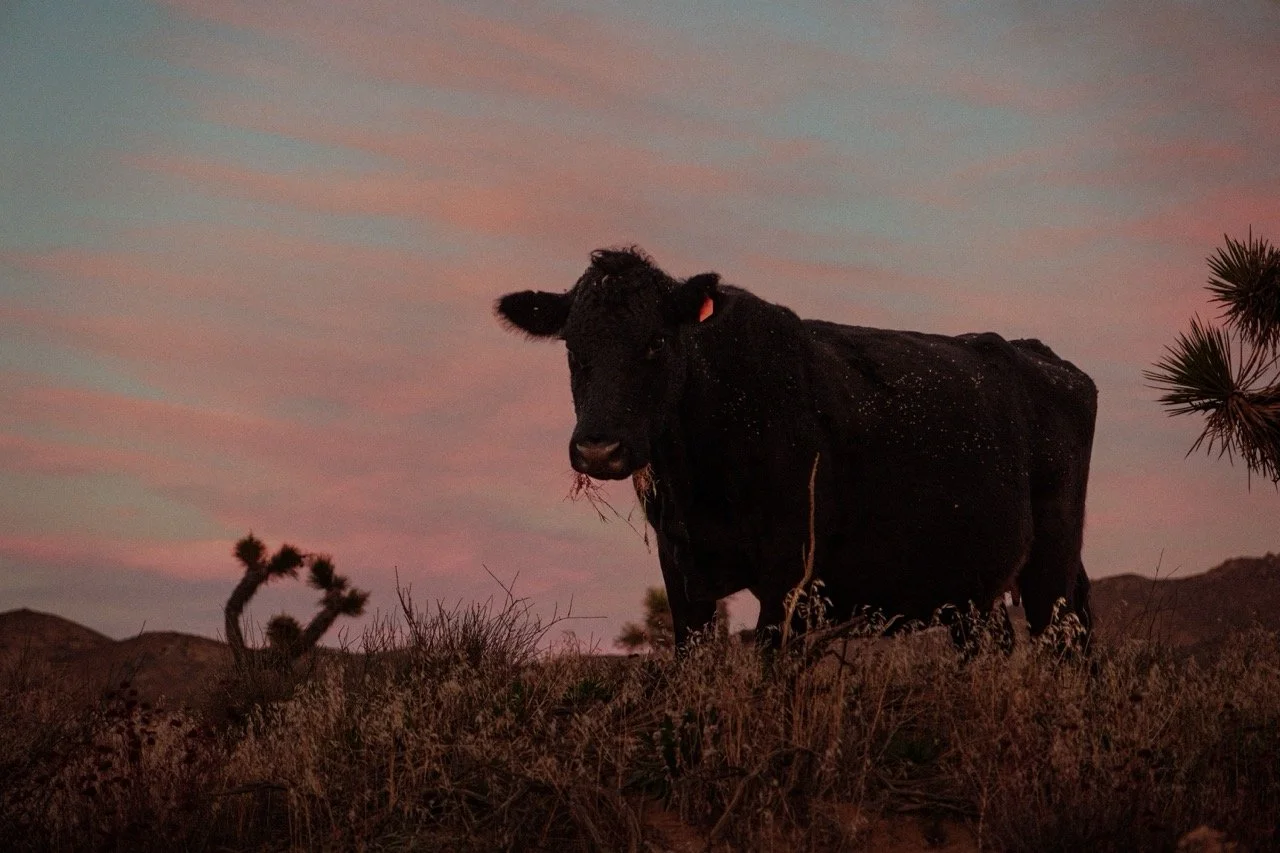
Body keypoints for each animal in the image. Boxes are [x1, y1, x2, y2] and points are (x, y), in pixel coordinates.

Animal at [496, 247, 1096, 653]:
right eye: (572, 346)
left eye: (656, 342)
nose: (599, 449)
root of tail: (1040, 354)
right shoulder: (682, 570)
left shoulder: (791, 571)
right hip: (976, 586)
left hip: (1051, 561)